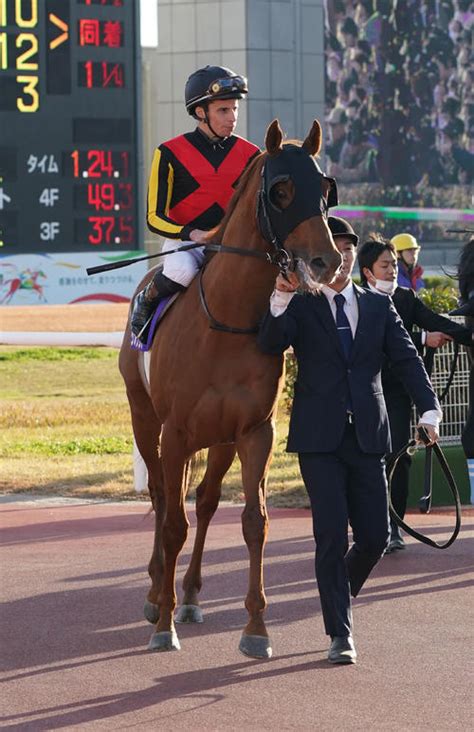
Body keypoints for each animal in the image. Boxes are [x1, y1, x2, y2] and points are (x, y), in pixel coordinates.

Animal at [118, 118, 340, 656]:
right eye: (281, 190)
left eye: (325, 188)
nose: (327, 261)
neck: (225, 320)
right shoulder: (176, 432)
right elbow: (171, 522)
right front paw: (163, 626)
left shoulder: (255, 431)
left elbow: (254, 521)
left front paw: (256, 630)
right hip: (144, 419)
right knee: (162, 496)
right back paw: (157, 594)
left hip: (218, 440)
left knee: (205, 499)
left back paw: (191, 596)